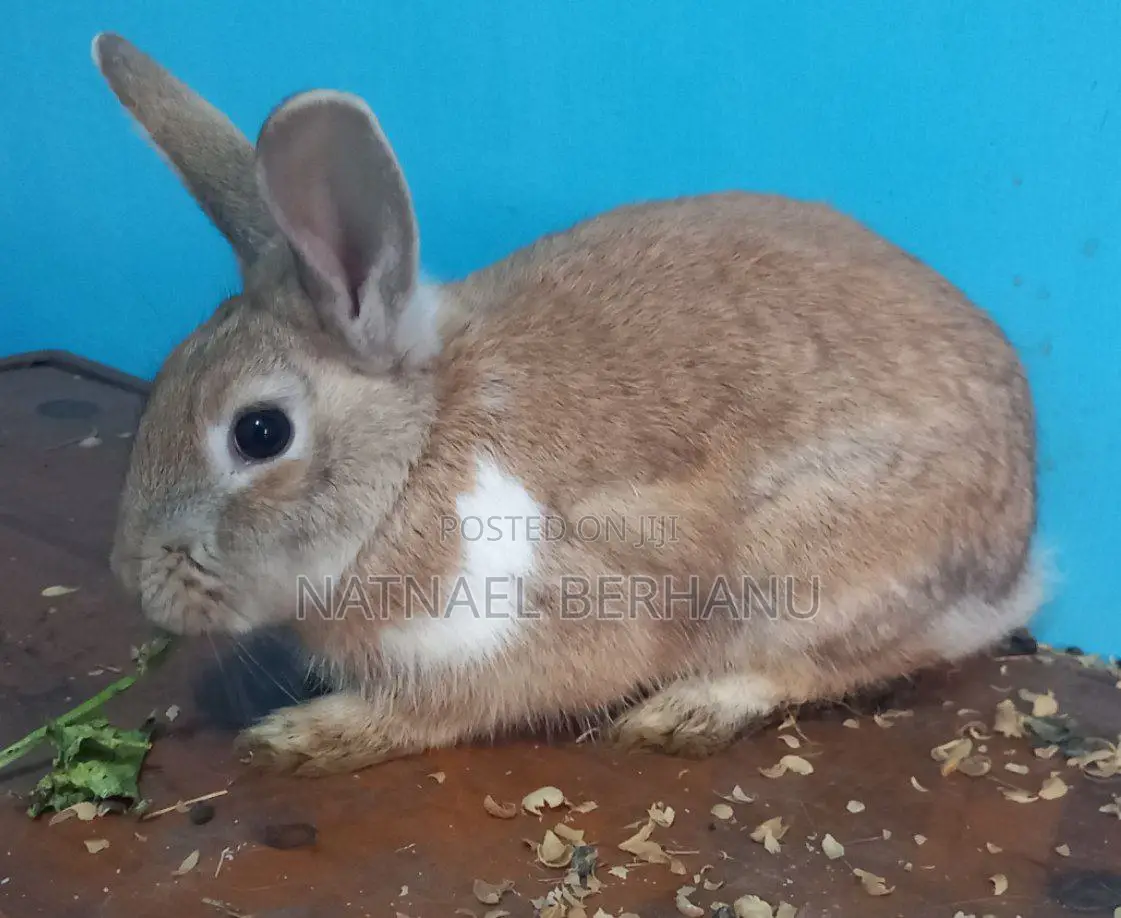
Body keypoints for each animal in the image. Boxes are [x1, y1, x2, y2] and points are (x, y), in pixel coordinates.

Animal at [95, 32, 1041, 777]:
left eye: (260, 432)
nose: (134, 581)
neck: (416, 457)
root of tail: (1016, 549)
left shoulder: (522, 630)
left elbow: (435, 709)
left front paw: (300, 737)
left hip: (809, 573)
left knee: (821, 664)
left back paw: (681, 714)